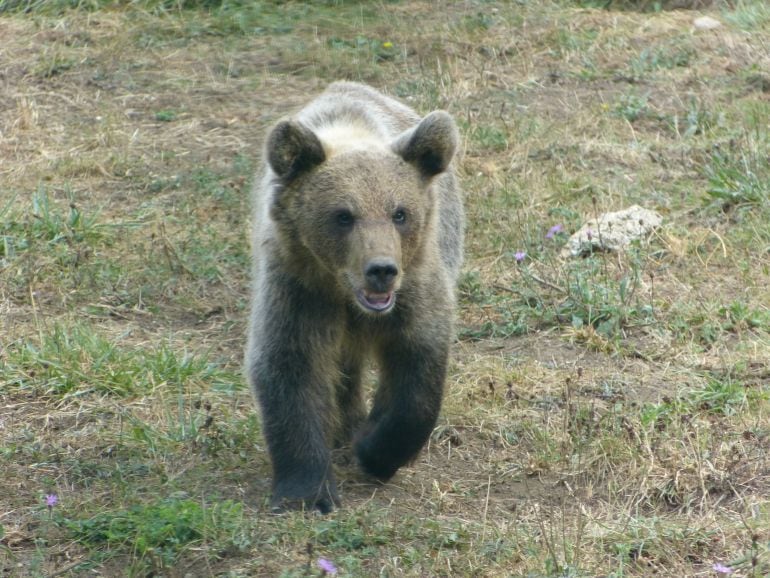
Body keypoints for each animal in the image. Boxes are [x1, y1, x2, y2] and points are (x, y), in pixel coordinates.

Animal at [246, 80, 462, 508]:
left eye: (400, 212)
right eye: (343, 215)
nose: (381, 270)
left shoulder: (416, 287)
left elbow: (417, 372)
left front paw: (375, 451)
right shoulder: (297, 288)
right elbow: (290, 366)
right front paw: (307, 491)